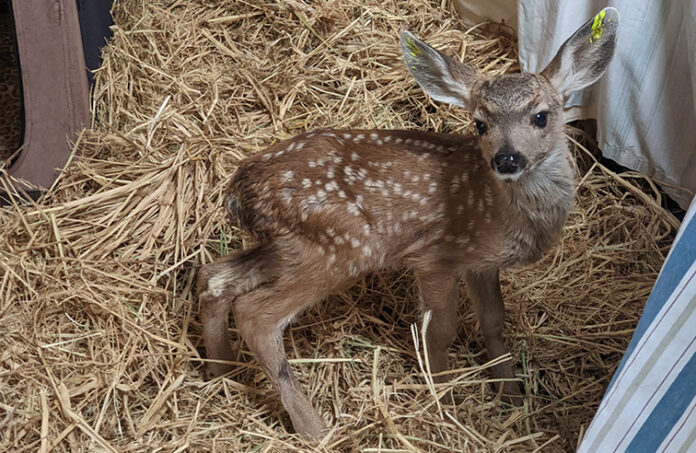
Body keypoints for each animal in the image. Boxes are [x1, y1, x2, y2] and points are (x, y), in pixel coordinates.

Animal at [197, 8, 618, 439]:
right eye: (480, 124)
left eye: (541, 116)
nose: (506, 158)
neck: (500, 213)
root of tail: (238, 189)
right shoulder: (436, 257)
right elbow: (441, 332)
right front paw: (445, 402)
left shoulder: (481, 263)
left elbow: (494, 323)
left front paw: (511, 396)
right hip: (340, 247)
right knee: (255, 313)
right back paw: (315, 428)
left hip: (287, 245)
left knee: (215, 277)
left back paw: (221, 372)